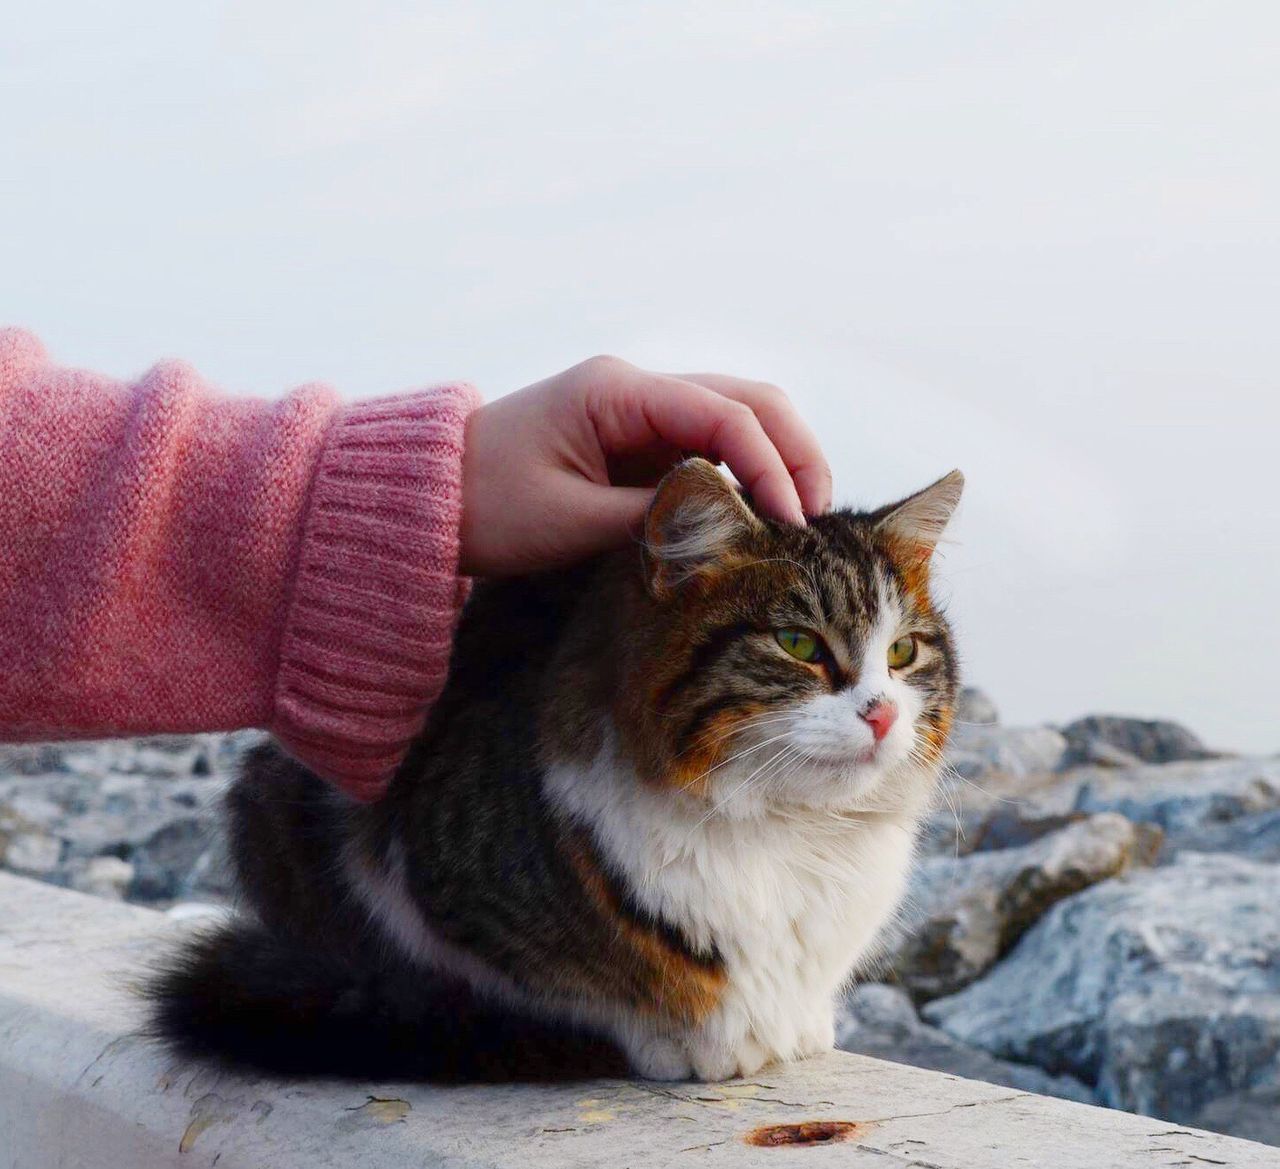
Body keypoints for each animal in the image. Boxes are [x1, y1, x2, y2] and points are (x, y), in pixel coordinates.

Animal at [147, 460, 962, 1080]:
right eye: (798, 643)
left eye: (902, 652)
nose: (881, 714)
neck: (788, 830)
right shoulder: (424, 871)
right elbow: (568, 986)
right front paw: (687, 1038)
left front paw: (801, 1024)